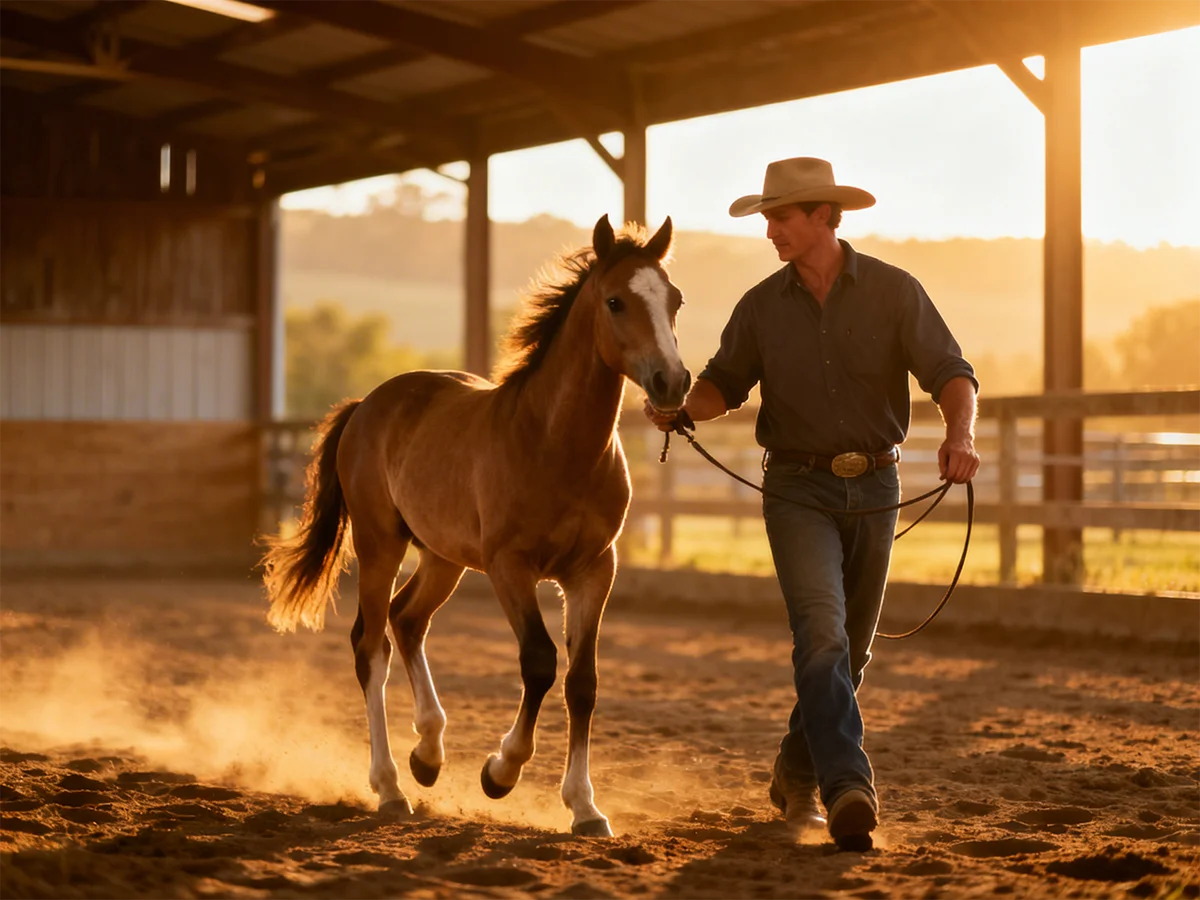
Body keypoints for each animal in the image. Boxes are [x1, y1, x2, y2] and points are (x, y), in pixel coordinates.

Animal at [261, 214, 689, 837]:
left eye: (674, 300)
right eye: (615, 301)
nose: (672, 383)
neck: (555, 443)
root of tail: (367, 404)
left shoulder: (593, 569)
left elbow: (582, 681)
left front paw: (586, 808)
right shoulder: (510, 566)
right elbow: (539, 661)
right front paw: (500, 772)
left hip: (443, 557)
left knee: (406, 620)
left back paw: (428, 755)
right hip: (380, 543)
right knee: (370, 645)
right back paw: (390, 787)